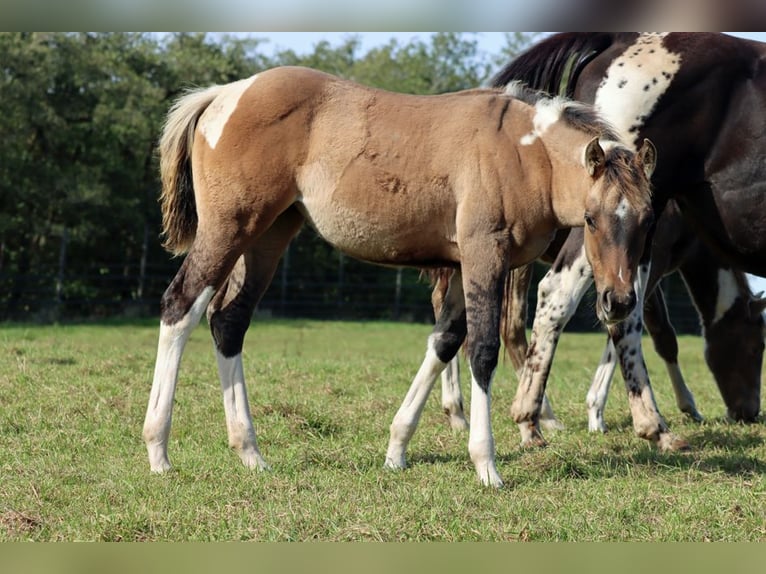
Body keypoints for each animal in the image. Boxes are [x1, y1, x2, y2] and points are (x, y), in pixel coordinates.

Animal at [142, 66, 656, 487]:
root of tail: (225, 94)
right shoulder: (482, 256)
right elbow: (482, 352)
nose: (618, 302)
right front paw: (486, 464)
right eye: (590, 219)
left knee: (229, 322)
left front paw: (396, 449)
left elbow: (443, 343)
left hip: (268, 236)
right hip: (229, 230)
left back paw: (249, 452)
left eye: (647, 219)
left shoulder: (465, 267)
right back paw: (159, 451)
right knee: (180, 306)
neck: (523, 153)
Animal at [434, 200, 765, 435]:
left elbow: (662, 335)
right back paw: (544, 415)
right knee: (512, 325)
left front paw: (687, 405)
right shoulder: (649, 264)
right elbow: (636, 331)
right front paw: (597, 412)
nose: (749, 413)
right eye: (756, 348)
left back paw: (457, 411)